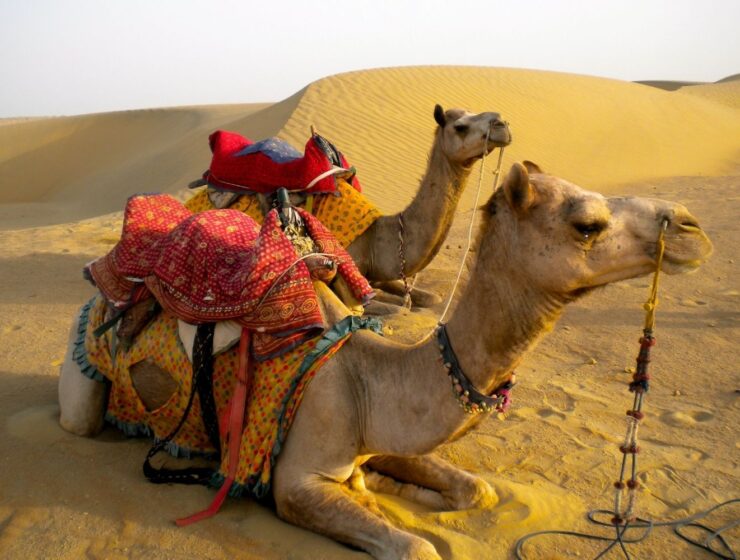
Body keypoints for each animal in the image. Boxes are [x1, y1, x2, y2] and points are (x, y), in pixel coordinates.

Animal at [57, 160, 712, 556]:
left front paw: (391, 487)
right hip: (83, 380)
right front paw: (384, 500)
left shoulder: (386, 434)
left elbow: (477, 491)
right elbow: (417, 546)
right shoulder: (295, 482)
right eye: (586, 223)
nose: (691, 226)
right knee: (82, 419)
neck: (368, 374)